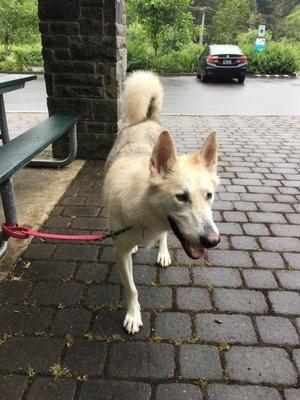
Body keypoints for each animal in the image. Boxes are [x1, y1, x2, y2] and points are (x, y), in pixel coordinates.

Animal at [103, 70, 220, 332]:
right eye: (182, 197)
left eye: (208, 196)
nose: (213, 241)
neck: (144, 213)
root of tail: (147, 119)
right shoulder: (119, 252)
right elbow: (131, 289)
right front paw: (133, 315)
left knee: (165, 236)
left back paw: (163, 252)